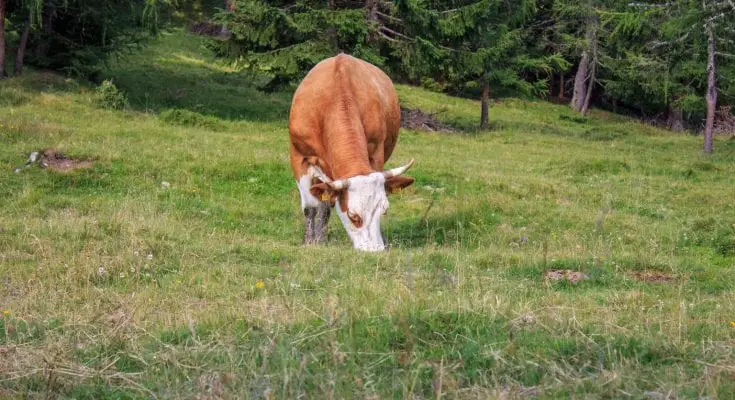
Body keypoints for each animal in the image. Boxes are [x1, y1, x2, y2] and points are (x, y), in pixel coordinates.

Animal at [288, 54, 414, 252]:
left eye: (384, 210)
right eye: (354, 216)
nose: (375, 251)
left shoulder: (376, 153)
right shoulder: (299, 156)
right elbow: (311, 207)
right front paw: (310, 242)